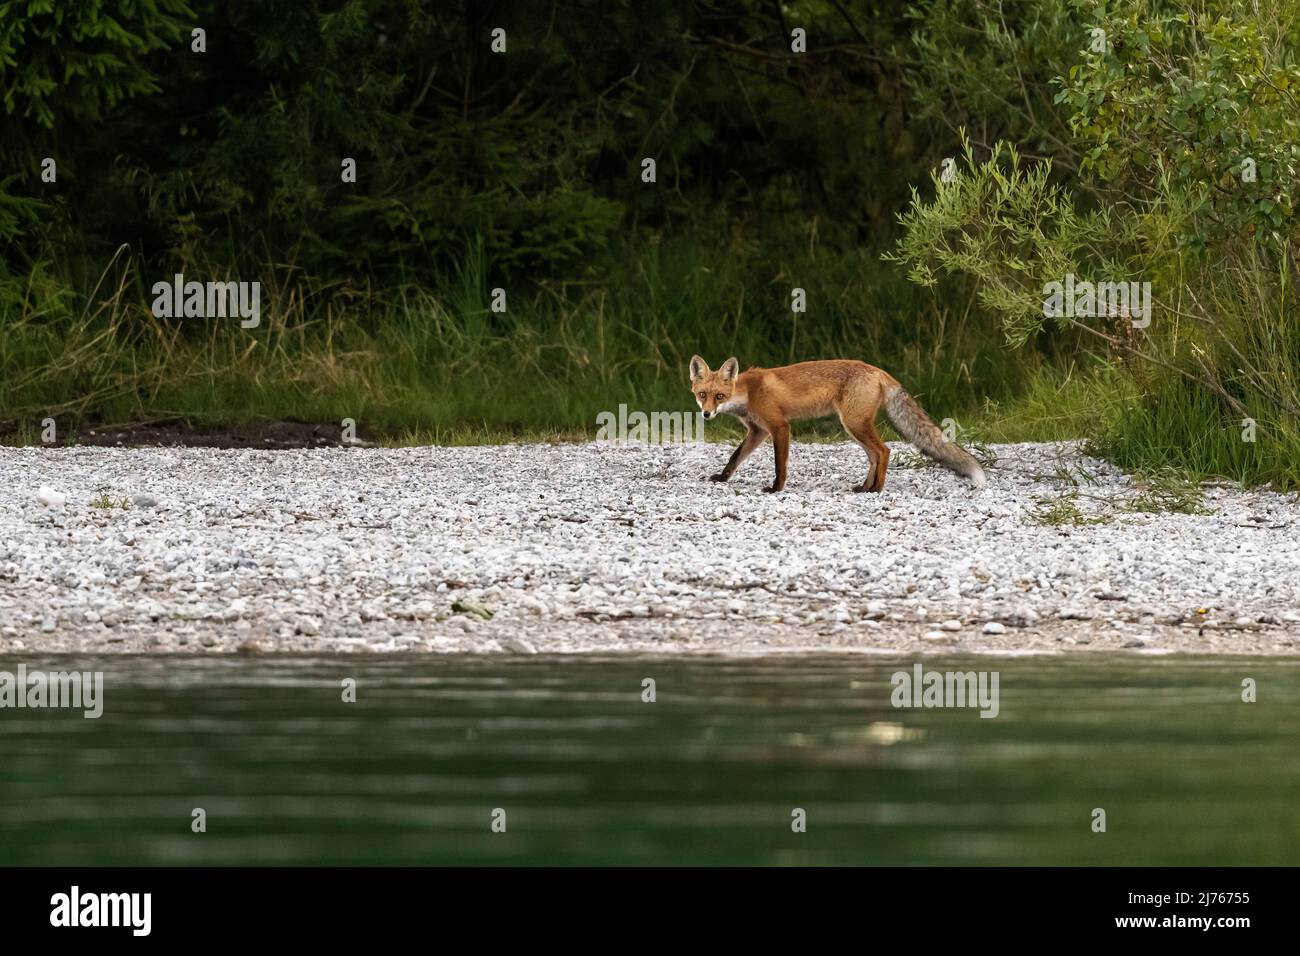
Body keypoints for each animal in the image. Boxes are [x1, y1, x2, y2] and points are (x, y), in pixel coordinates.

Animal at [691, 356, 982, 494]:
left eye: (719, 396)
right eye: (702, 394)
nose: (706, 414)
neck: (748, 392)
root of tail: (878, 370)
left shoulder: (779, 426)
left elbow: (779, 465)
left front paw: (776, 488)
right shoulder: (757, 431)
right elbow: (735, 457)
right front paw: (722, 477)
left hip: (855, 424)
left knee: (884, 450)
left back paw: (877, 489)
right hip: (854, 427)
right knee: (874, 456)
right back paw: (865, 487)